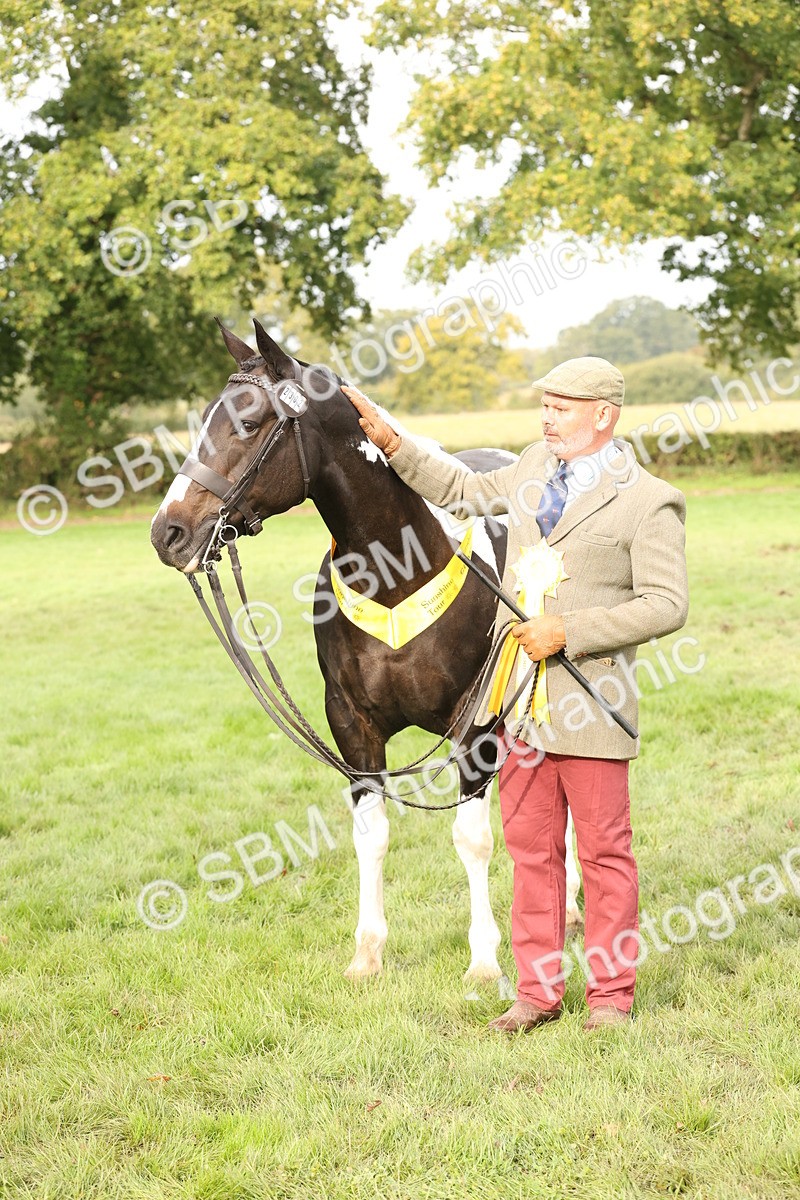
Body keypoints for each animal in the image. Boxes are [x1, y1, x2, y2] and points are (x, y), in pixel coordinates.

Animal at [150, 319, 582, 980]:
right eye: (203, 418)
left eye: (249, 422)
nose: (168, 532)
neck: (398, 572)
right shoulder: (352, 726)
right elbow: (371, 835)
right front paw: (368, 952)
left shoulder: (475, 726)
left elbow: (473, 838)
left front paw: (485, 961)